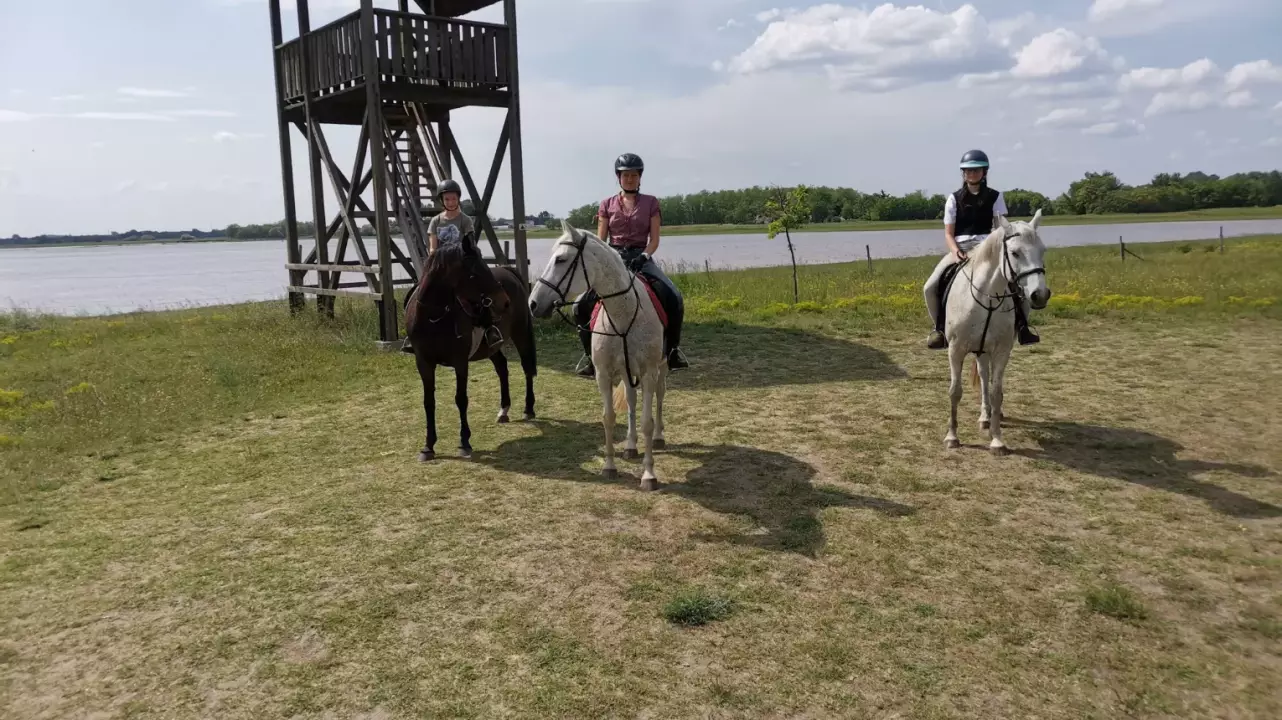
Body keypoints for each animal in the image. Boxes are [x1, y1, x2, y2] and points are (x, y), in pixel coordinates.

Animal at [405, 235, 535, 458]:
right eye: (475, 272)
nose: (504, 301)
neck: (433, 317)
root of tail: (508, 271)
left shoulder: (460, 362)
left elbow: (461, 399)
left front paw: (464, 442)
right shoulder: (423, 362)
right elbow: (428, 402)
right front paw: (428, 446)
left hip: (521, 334)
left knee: (526, 367)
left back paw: (528, 409)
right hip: (491, 347)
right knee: (502, 367)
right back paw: (504, 409)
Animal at [528, 219, 671, 486]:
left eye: (561, 259)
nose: (533, 304)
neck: (624, 313)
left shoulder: (648, 371)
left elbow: (646, 421)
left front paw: (649, 475)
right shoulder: (603, 374)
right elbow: (609, 417)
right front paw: (610, 466)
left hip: (662, 366)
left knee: (659, 395)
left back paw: (658, 437)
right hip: (626, 371)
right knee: (632, 399)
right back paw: (631, 446)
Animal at [943, 208, 1051, 453]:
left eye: (1043, 250)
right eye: (1015, 253)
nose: (1040, 295)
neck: (987, 298)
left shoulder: (1002, 350)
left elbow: (996, 392)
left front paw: (997, 440)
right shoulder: (956, 350)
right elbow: (955, 391)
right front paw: (952, 437)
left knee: (987, 379)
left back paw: (990, 416)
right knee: (983, 376)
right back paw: (984, 417)